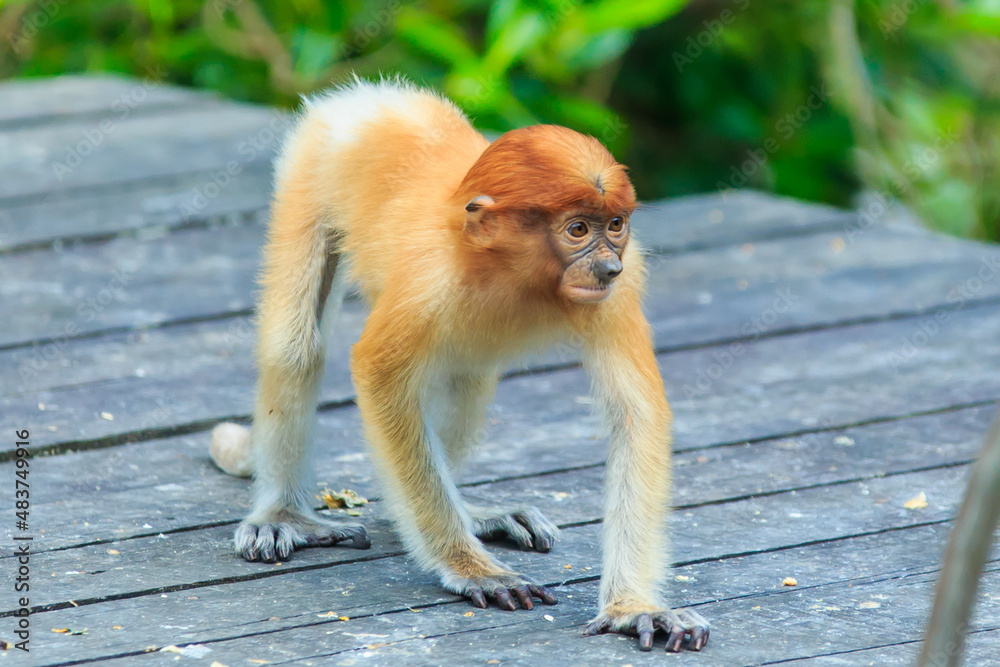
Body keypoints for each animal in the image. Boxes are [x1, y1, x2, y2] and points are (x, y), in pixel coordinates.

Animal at [210, 77, 709, 653]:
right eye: (578, 229)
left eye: (616, 225)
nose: (607, 266)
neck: (505, 265)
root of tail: (375, 97)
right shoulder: (429, 277)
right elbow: (378, 373)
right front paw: (475, 571)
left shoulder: (620, 290)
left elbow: (636, 414)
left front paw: (635, 609)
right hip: (311, 166)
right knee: (295, 346)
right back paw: (284, 514)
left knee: (469, 373)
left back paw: (475, 515)